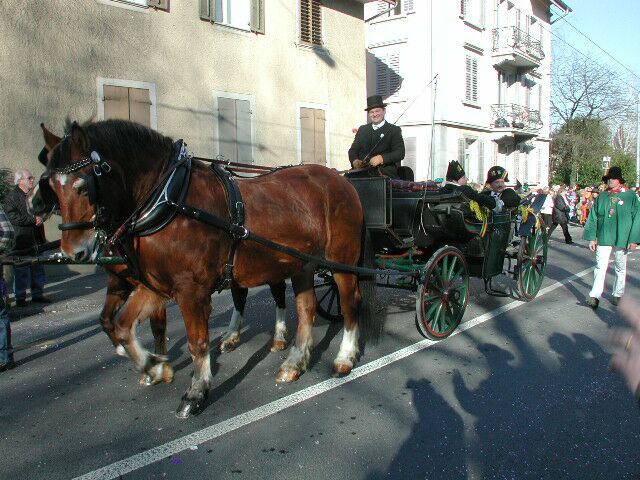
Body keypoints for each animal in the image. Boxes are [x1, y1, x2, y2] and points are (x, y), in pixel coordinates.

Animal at [30, 119, 378, 418]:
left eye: (83, 185)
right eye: (53, 186)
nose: (74, 252)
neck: (170, 202)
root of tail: (340, 180)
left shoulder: (191, 291)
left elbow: (197, 343)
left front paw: (195, 392)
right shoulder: (154, 285)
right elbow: (121, 325)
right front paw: (153, 365)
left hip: (341, 263)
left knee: (350, 305)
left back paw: (343, 358)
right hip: (302, 265)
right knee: (306, 308)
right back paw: (294, 362)